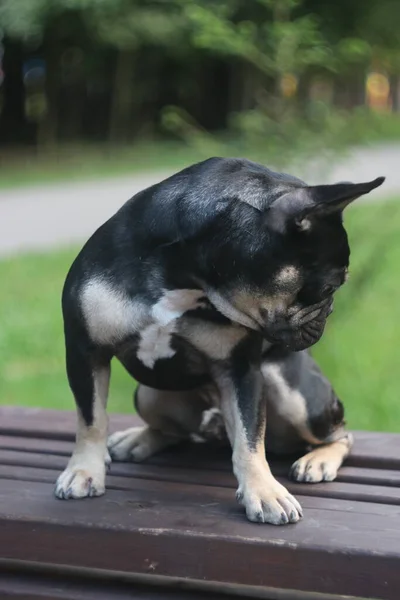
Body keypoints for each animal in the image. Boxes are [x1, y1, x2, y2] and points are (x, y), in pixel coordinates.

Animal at [56, 158, 384, 524]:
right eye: (330, 287)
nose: (330, 311)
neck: (183, 276)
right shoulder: (86, 353)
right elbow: (91, 420)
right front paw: (84, 471)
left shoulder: (240, 370)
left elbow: (249, 437)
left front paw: (264, 492)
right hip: (150, 394)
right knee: (174, 431)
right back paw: (139, 439)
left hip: (293, 395)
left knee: (340, 434)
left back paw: (318, 459)